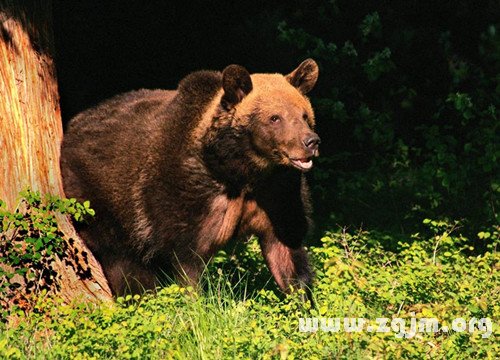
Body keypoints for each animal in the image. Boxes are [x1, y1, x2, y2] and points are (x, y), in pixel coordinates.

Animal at [60, 59, 320, 298]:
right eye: (275, 118)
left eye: (304, 115)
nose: (311, 141)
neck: (241, 170)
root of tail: (72, 127)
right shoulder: (185, 196)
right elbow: (187, 263)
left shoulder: (279, 196)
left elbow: (287, 255)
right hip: (101, 202)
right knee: (124, 263)